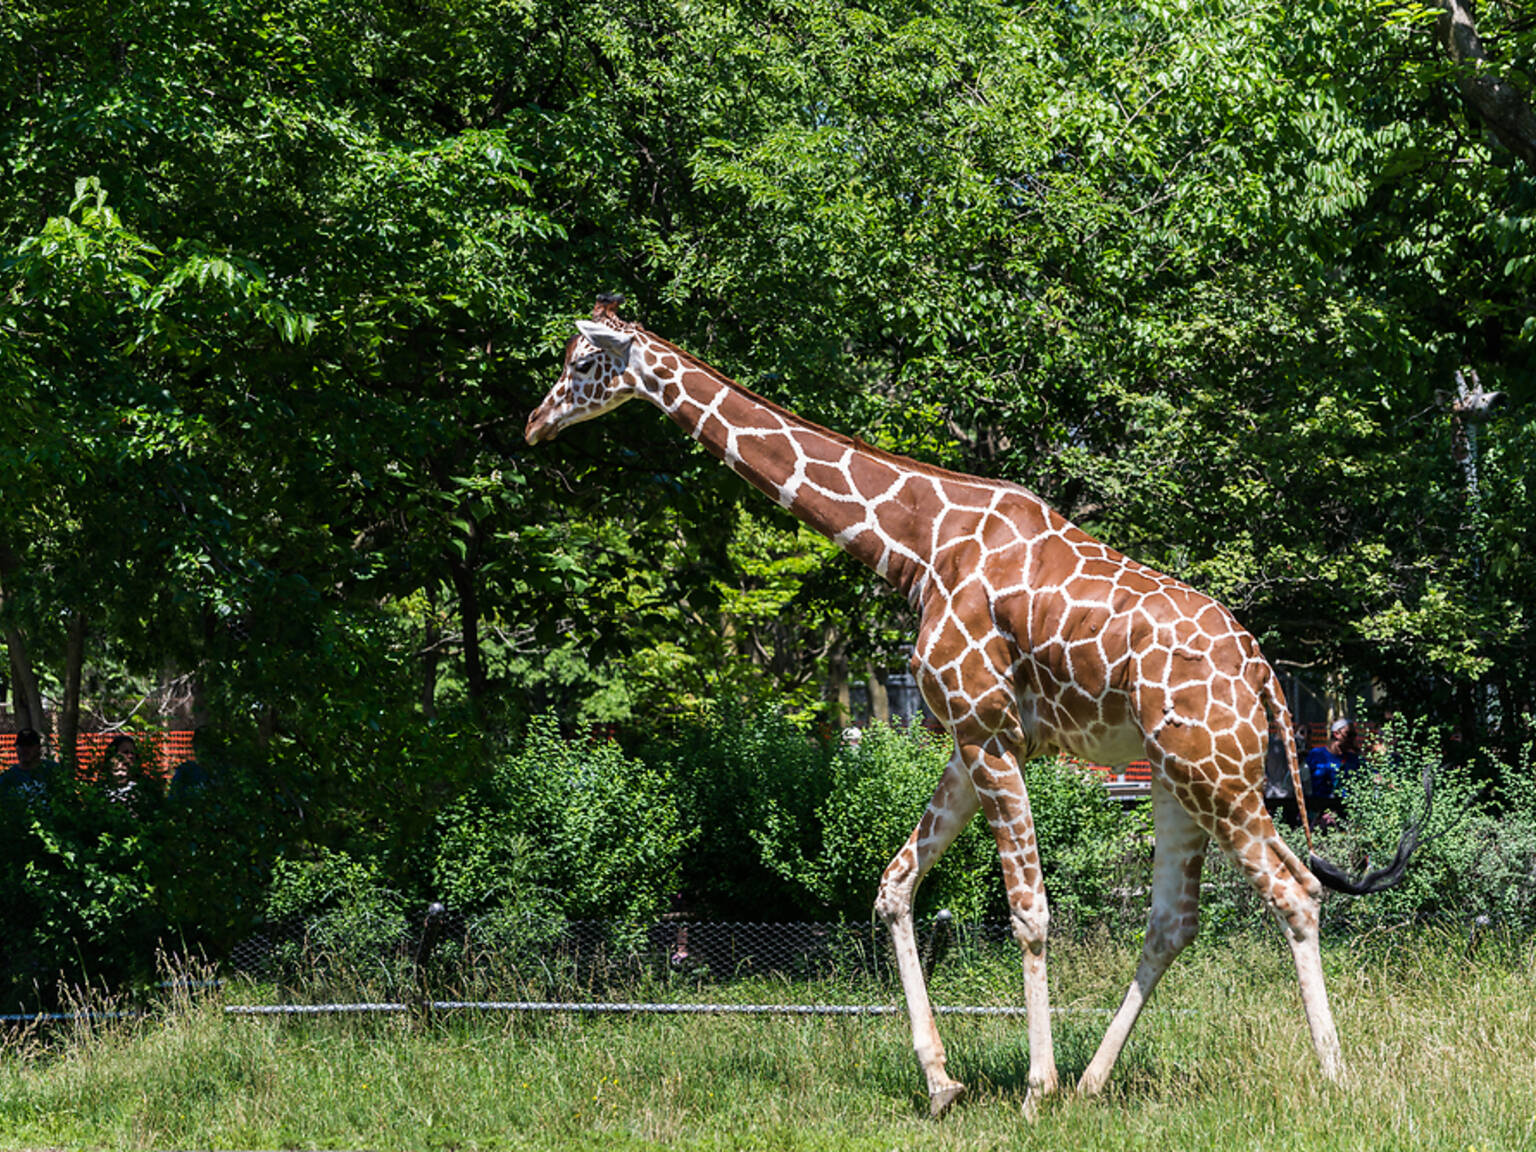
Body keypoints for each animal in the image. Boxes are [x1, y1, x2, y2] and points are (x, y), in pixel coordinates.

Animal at [522, 297, 1419, 1118]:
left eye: (581, 362)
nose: (534, 423)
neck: (915, 545)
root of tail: (1261, 666)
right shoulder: (966, 738)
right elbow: (894, 886)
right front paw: (943, 1083)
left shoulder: (989, 734)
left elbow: (1028, 912)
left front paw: (1032, 1090)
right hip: (1176, 777)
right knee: (1174, 920)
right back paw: (1096, 1083)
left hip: (1218, 773)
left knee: (1294, 893)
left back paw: (1332, 1079)